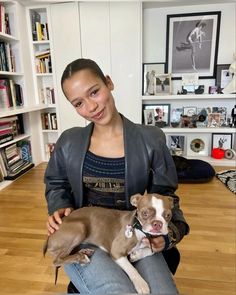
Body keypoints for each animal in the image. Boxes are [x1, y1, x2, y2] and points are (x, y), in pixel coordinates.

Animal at [43, 192, 173, 294]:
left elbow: (151, 251)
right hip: (80, 227)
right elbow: (132, 269)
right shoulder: (116, 252)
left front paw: (137, 255)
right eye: (145, 213)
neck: (140, 230)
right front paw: (141, 283)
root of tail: (49, 236)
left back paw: (84, 252)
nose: (158, 224)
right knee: (57, 260)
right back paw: (81, 257)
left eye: (168, 215)